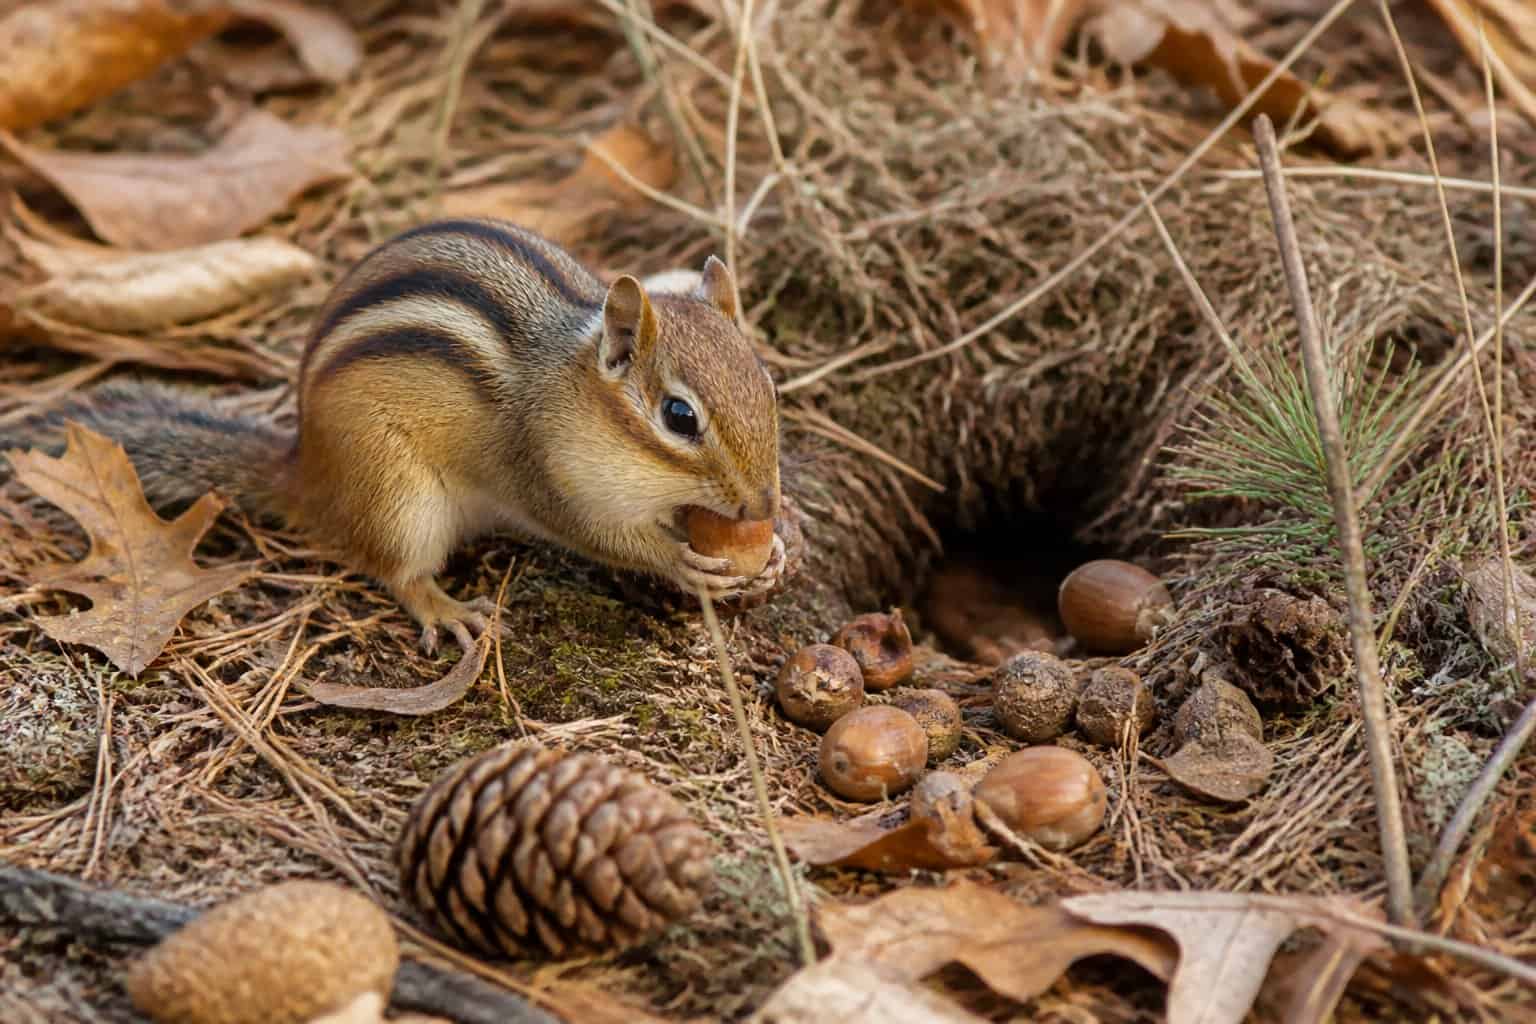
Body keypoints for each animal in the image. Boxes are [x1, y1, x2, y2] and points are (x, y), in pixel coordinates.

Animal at [5, 218, 786, 652]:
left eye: (766, 380)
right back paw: (445, 608)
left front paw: (772, 554)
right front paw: (680, 561)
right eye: (679, 417)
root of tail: (307, 468)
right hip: (397, 495)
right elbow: (601, 536)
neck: (572, 391)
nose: (764, 508)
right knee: (396, 569)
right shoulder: (542, 472)